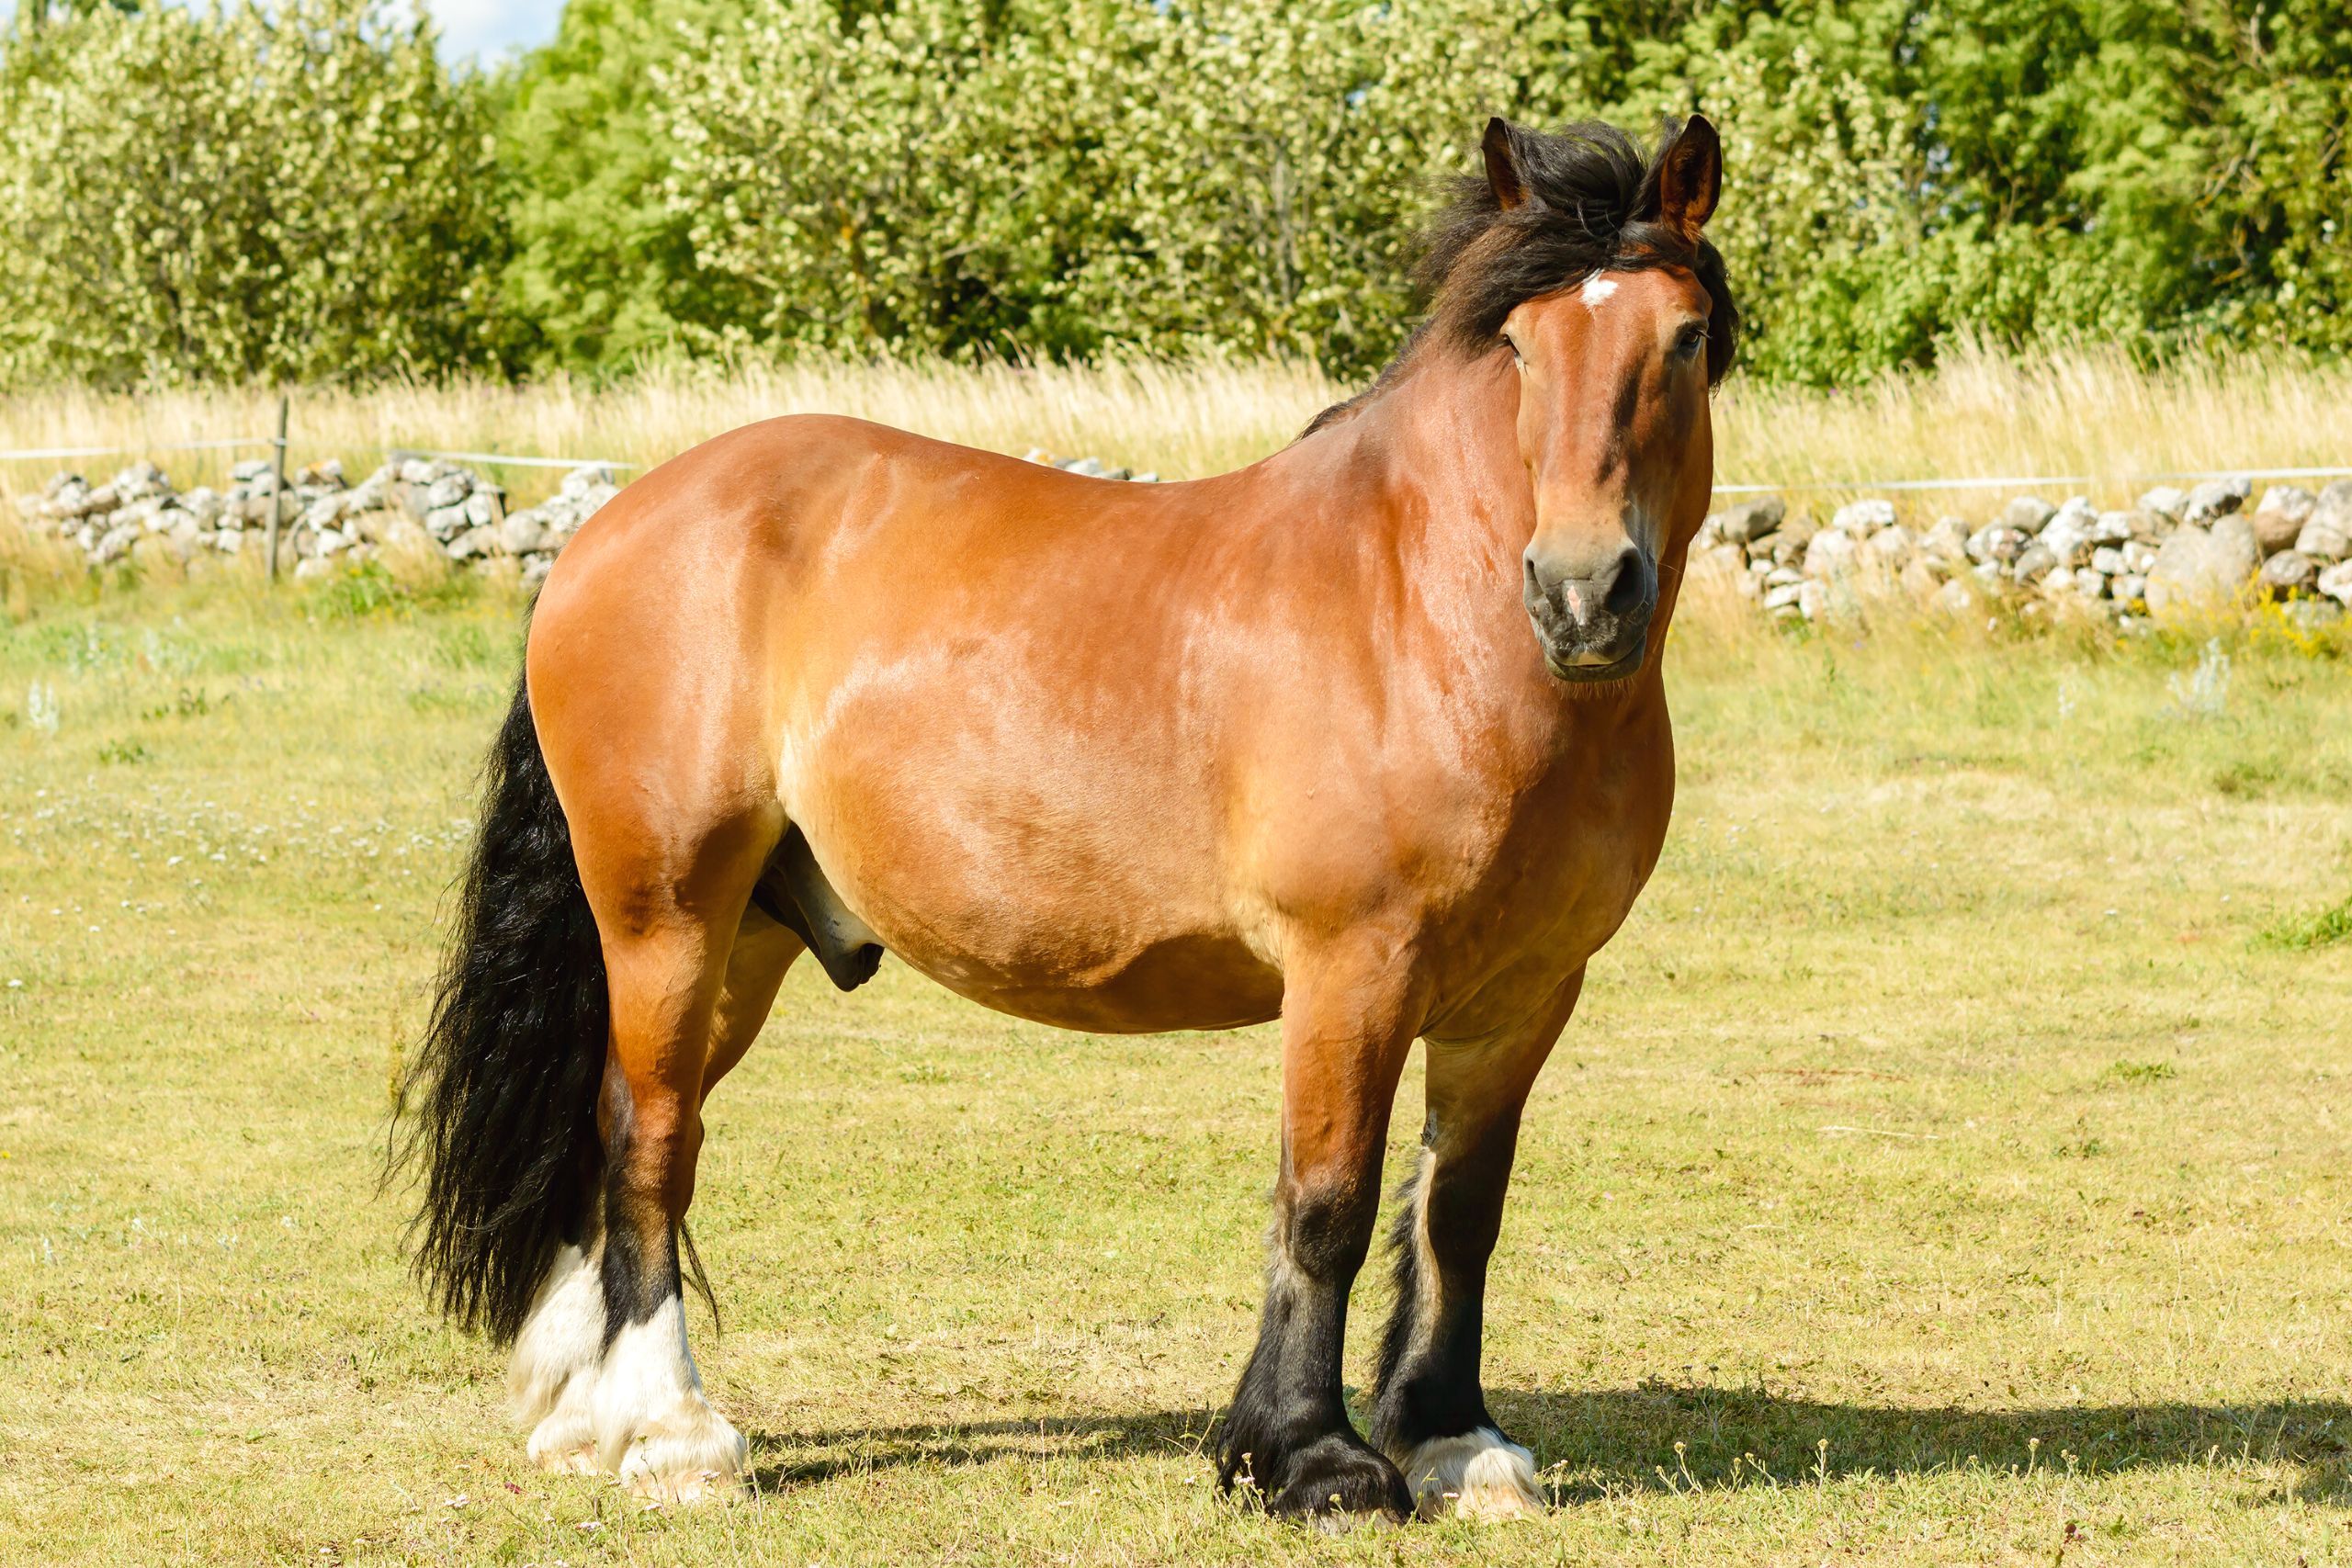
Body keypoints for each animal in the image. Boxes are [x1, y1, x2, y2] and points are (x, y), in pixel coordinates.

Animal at [398, 112, 1736, 1525]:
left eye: (1683, 336)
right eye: (1522, 347)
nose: (1583, 592)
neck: (1423, 607)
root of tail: (608, 528)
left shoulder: (1525, 992)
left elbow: (1459, 1211)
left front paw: (1454, 1443)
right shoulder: (1353, 967)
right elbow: (1327, 1200)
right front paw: (1305, 1457)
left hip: (746, 936)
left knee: (616, 1124)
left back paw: (581, 1415)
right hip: (666, 911)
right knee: (648, 1133)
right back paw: (672, 1430)